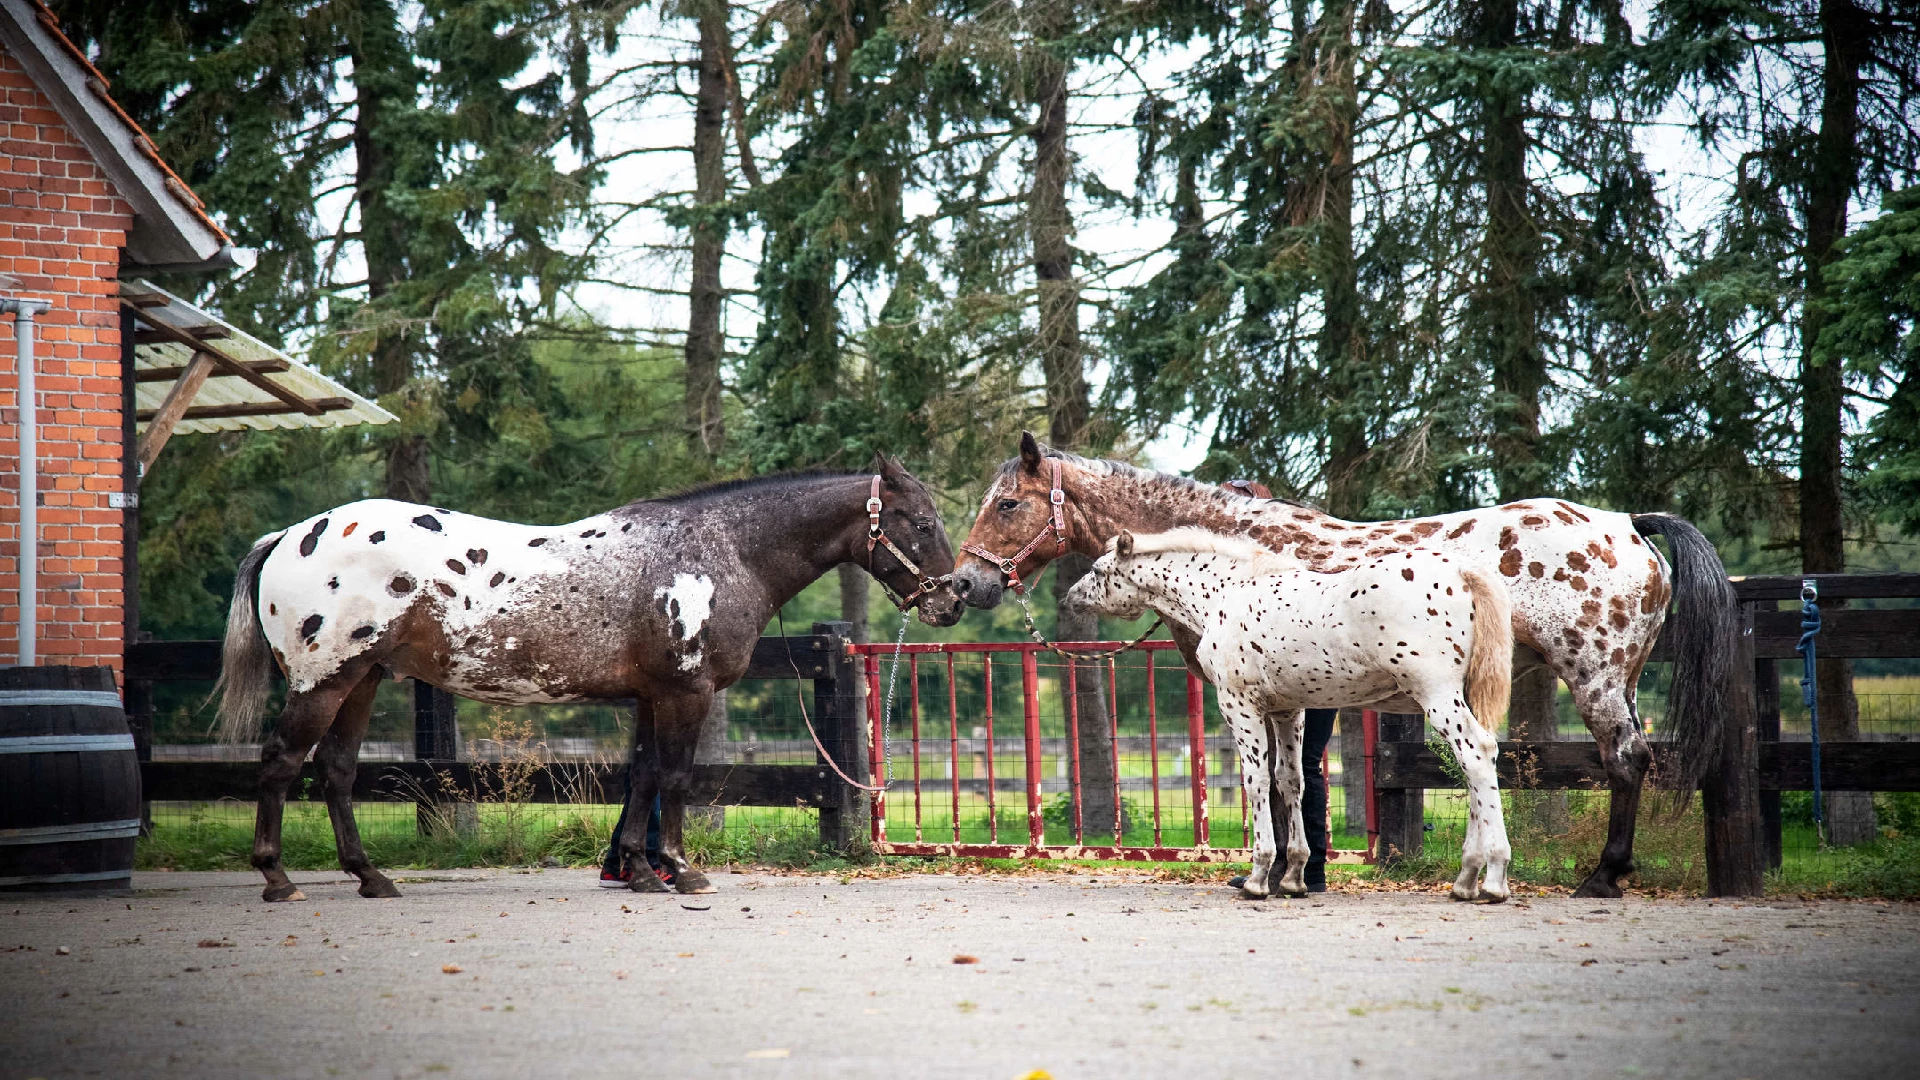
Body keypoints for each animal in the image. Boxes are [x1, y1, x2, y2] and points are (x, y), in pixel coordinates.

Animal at [214, 461, 960, 899]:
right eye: (922, 523)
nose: (953, 600)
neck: (715, 551)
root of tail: (292, 535)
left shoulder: (651, 697)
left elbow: (643, 778)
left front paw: (638, 870)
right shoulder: (684, 694)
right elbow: (676, 778)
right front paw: (682, 871)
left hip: (362, 681)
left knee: (336, 770)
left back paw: (372, 878)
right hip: (323, 682)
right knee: (281, 762)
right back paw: (277, 877)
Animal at [1067, 530, 1512, 899]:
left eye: (1097, 570)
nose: (1070, 598)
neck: (1227, 593)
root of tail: (1463, 571)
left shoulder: (1238, 704)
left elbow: (1256, 781)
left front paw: (1258, 877)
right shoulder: (1288, 711)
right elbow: (1291, 780)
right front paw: (1295, 877)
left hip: (1436, 694)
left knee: (1477, 754)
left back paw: (1492, 878)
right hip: (1459, 695)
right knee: (1474, 765)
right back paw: (1465, 879)